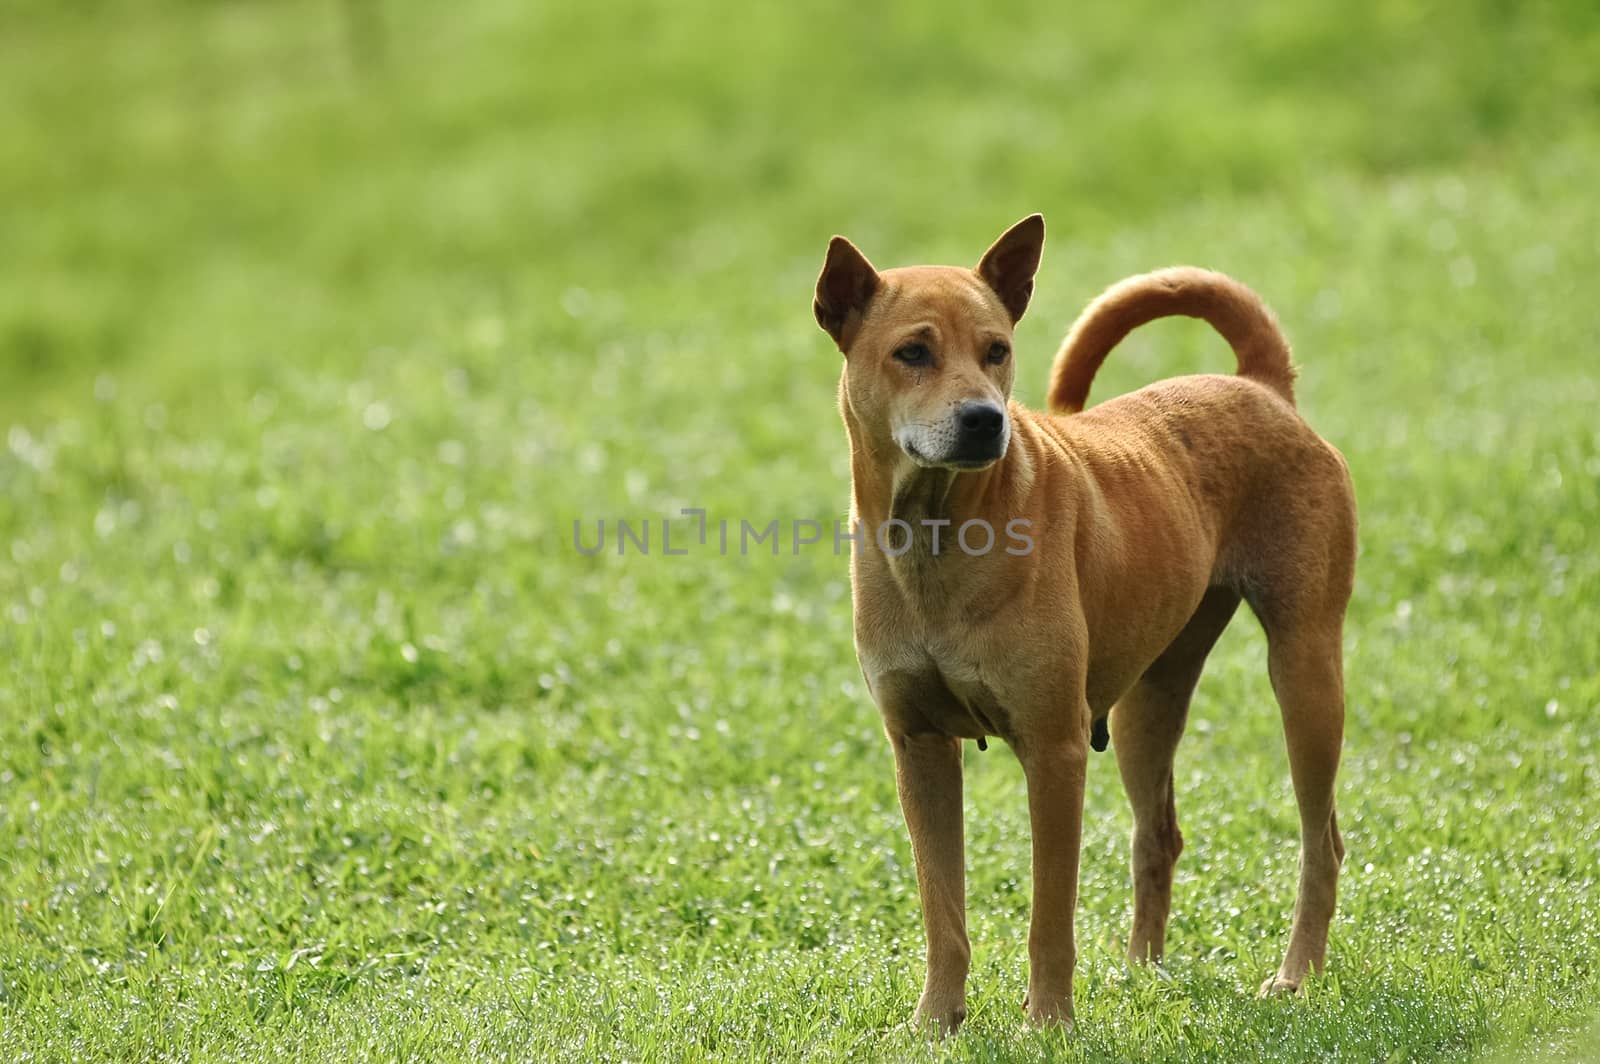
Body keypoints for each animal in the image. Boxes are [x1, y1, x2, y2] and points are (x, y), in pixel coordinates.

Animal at [819, 214, 1356, 1030]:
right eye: (912, 352)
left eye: (997, 350)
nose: (985, 420)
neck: (940, 534)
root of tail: (1260, 386)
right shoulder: (919, 748)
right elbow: (943, 910)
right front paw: (936, 1021)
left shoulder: (1054, 747)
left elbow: (1049, 912)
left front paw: (1048, 1023)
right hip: (1148, 700)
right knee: (1158, 834)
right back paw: (1142, 973)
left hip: (1305, 670)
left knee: (1320, 841)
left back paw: (1296, 976)